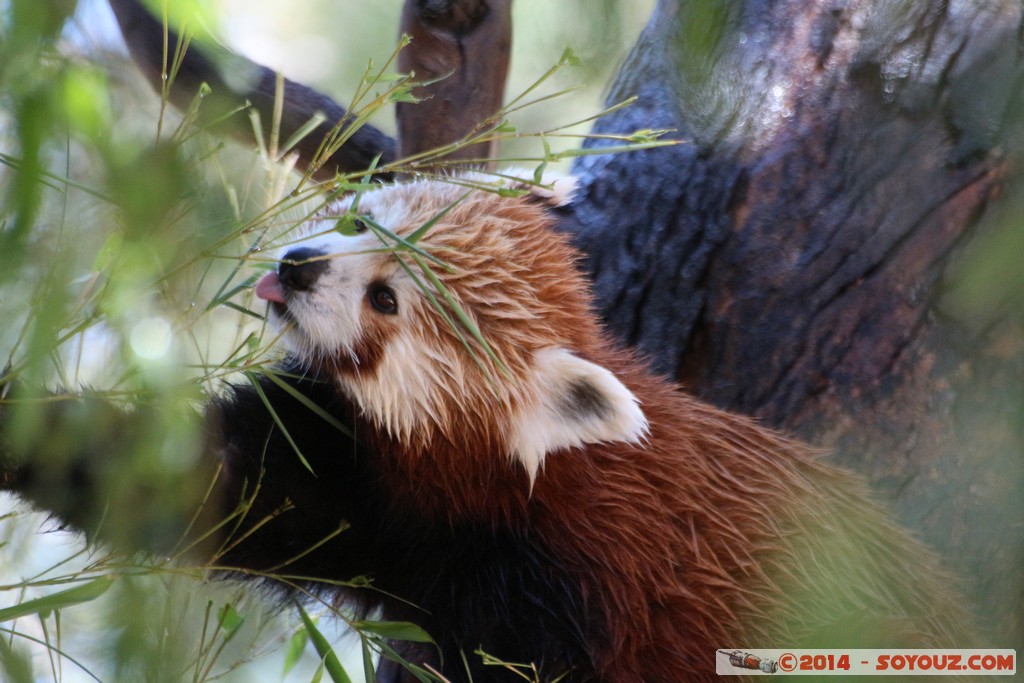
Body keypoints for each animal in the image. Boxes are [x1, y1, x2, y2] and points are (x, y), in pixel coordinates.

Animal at [241, 174, 974, 679]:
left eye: (385, 300)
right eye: (357, 221)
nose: (298, 265)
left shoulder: (575, 587)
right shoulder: (374, 488)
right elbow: (270, 491)